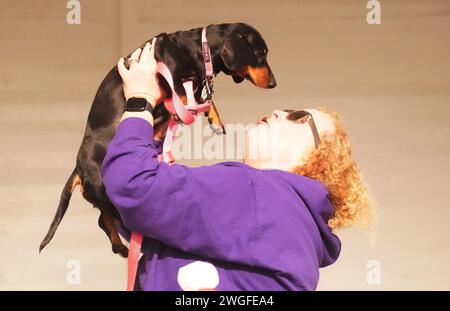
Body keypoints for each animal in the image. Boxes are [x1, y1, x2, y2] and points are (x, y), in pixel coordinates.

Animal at [39, 22, 278, 258]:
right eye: (260, 53)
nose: (274, 83)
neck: (196, 49)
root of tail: (78, 168)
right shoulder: (170, 82)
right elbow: (186, 97)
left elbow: (204, 99)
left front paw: (214, 118)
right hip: (108, 190)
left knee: (104, 219)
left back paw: (120, 247)